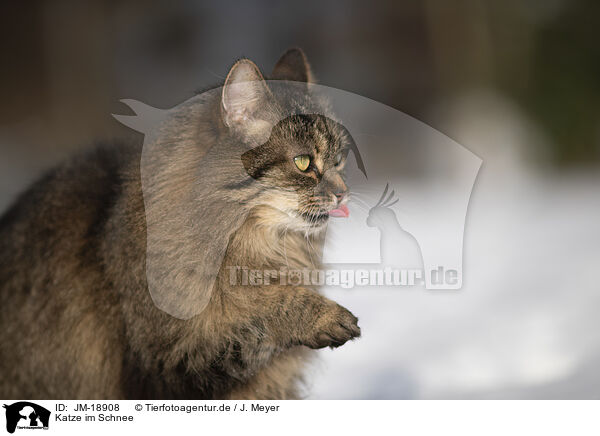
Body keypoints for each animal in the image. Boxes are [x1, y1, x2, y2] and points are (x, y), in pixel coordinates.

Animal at [0, 49, 360, 400]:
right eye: (303, 162)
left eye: (339, 161)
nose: (343, 193)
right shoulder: (172, 362)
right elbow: (261, 314)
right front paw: (324, 317)